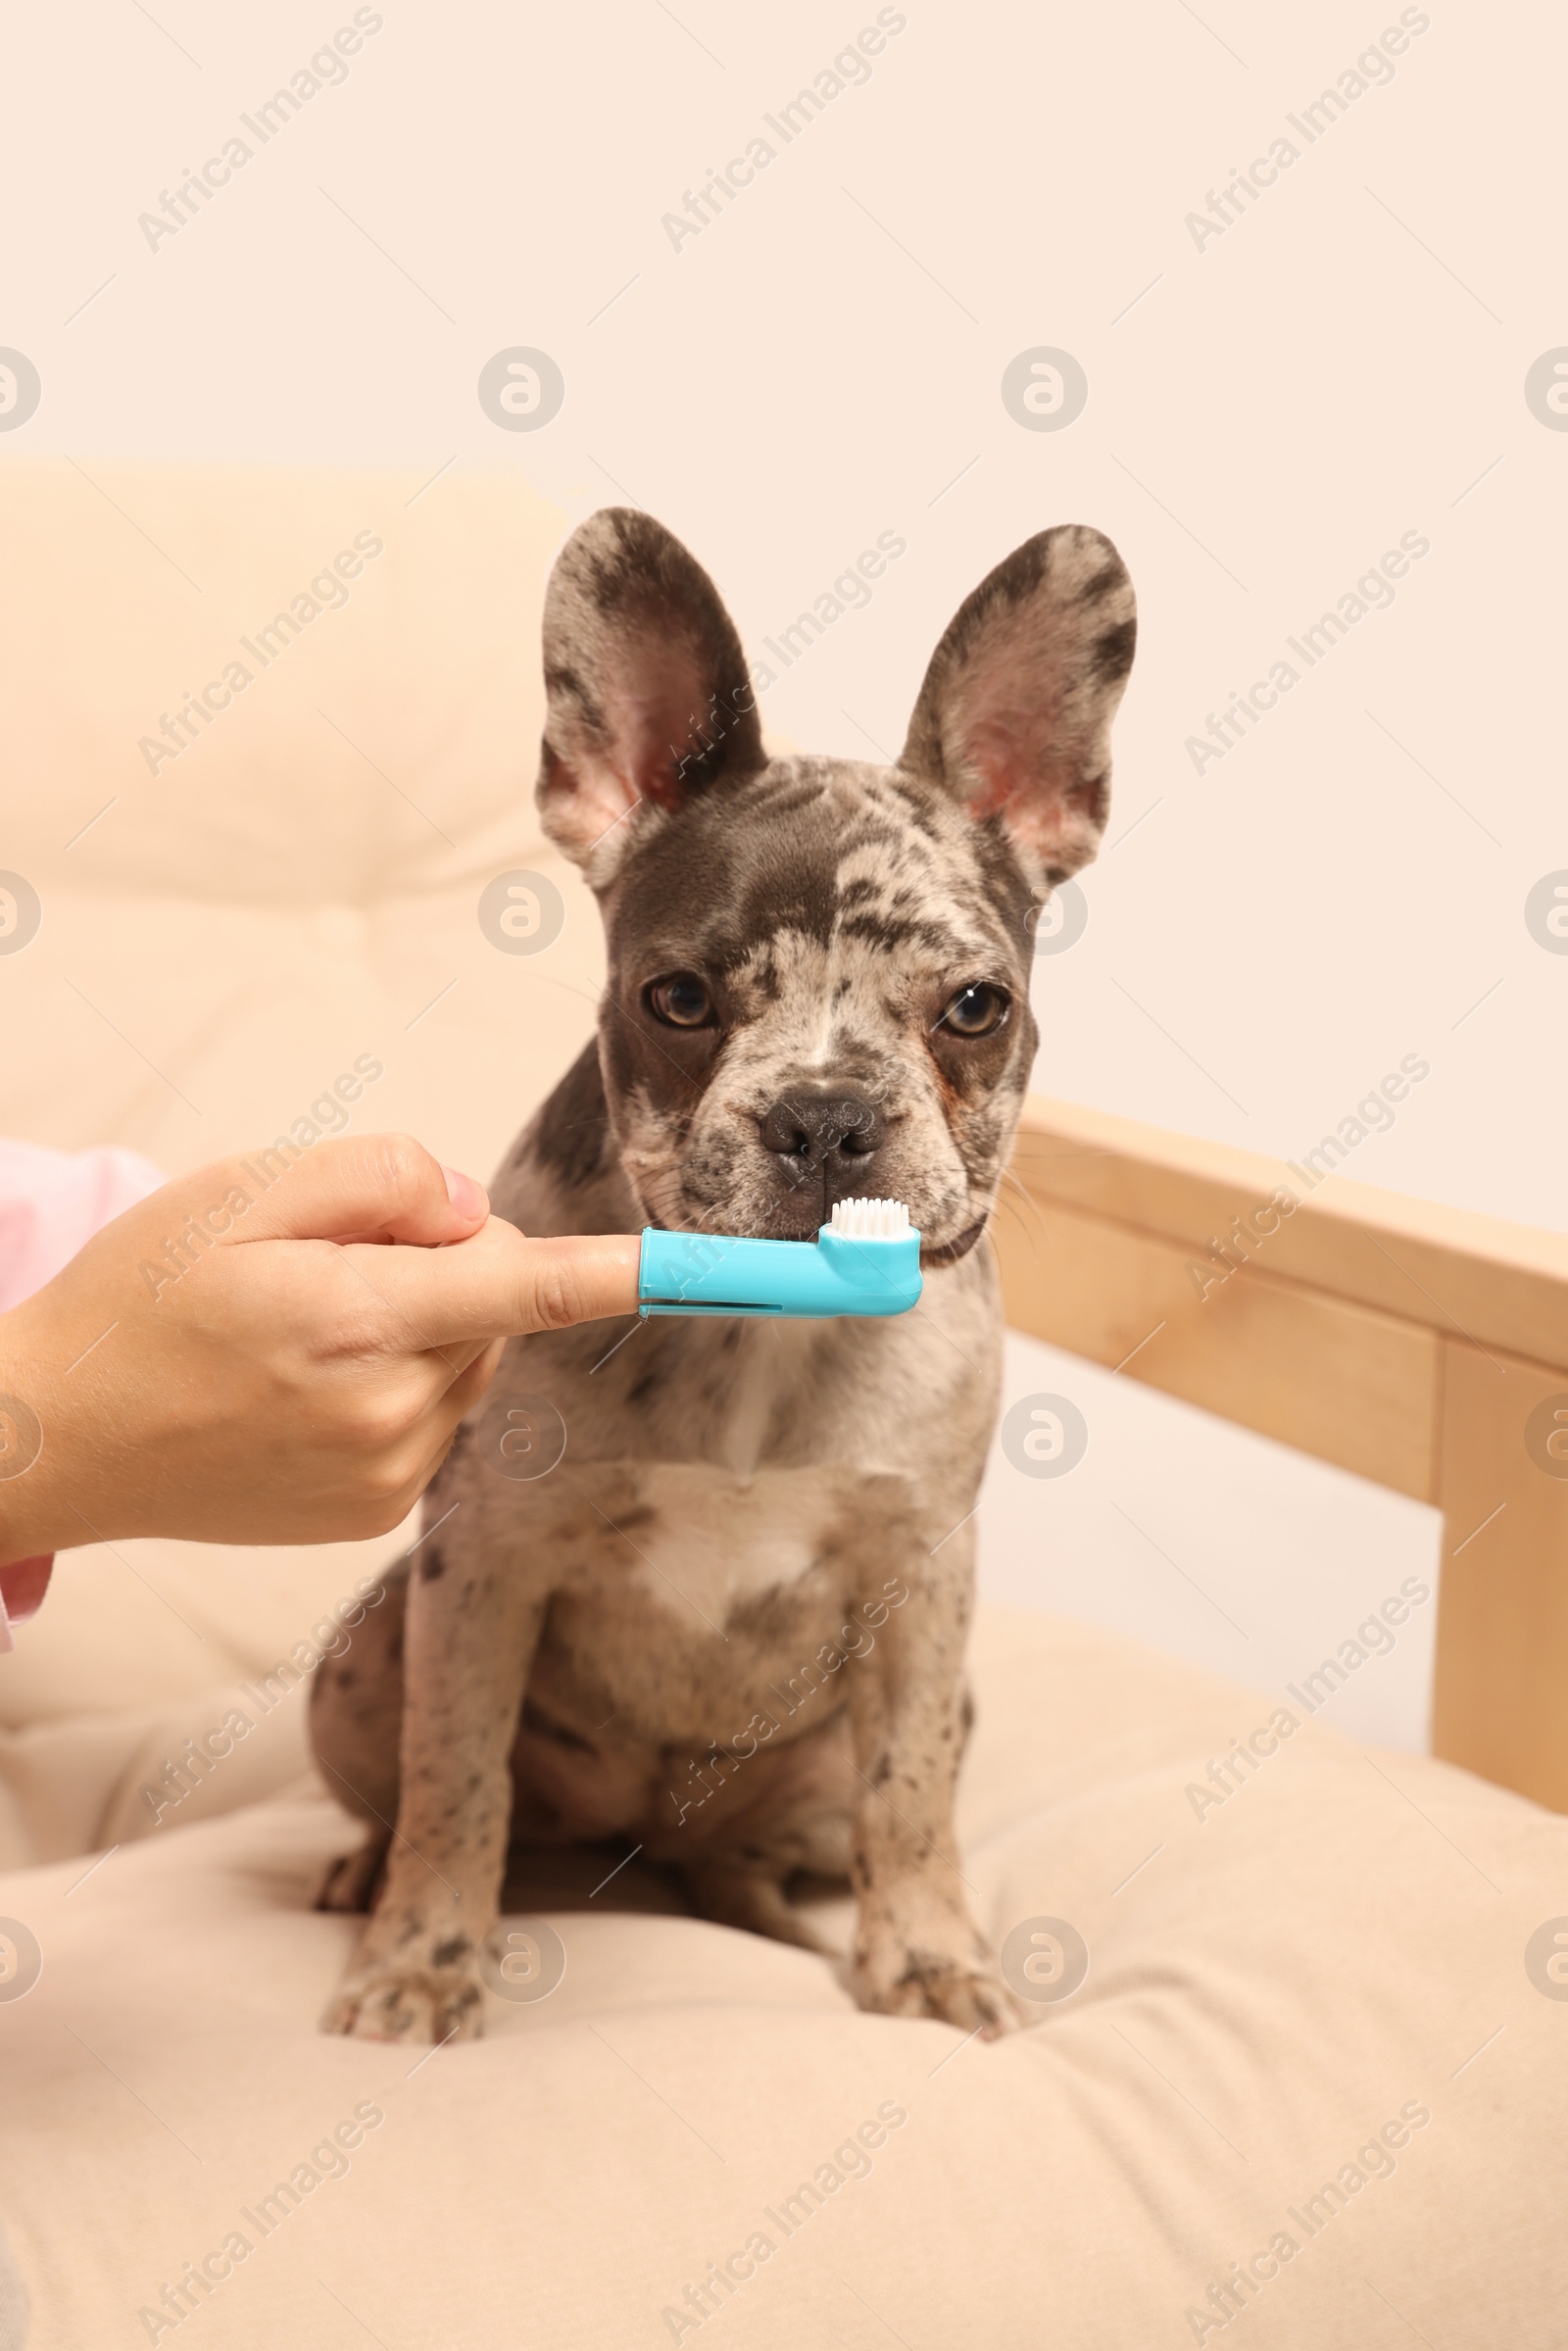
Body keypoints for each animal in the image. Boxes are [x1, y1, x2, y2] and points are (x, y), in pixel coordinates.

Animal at [310, 510, 1142, 2040]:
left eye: (976, 1006)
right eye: (678, 999)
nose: (827, 1114)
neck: (768, 1321)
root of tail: (653, 1842)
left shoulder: (921, 1578)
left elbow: (909, 1796)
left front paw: (926, 1954)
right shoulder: (483, 1567)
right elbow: (456, 1779)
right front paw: (423, 1958)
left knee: (804, 1831)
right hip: (362, 1661)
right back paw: (357, 1876)